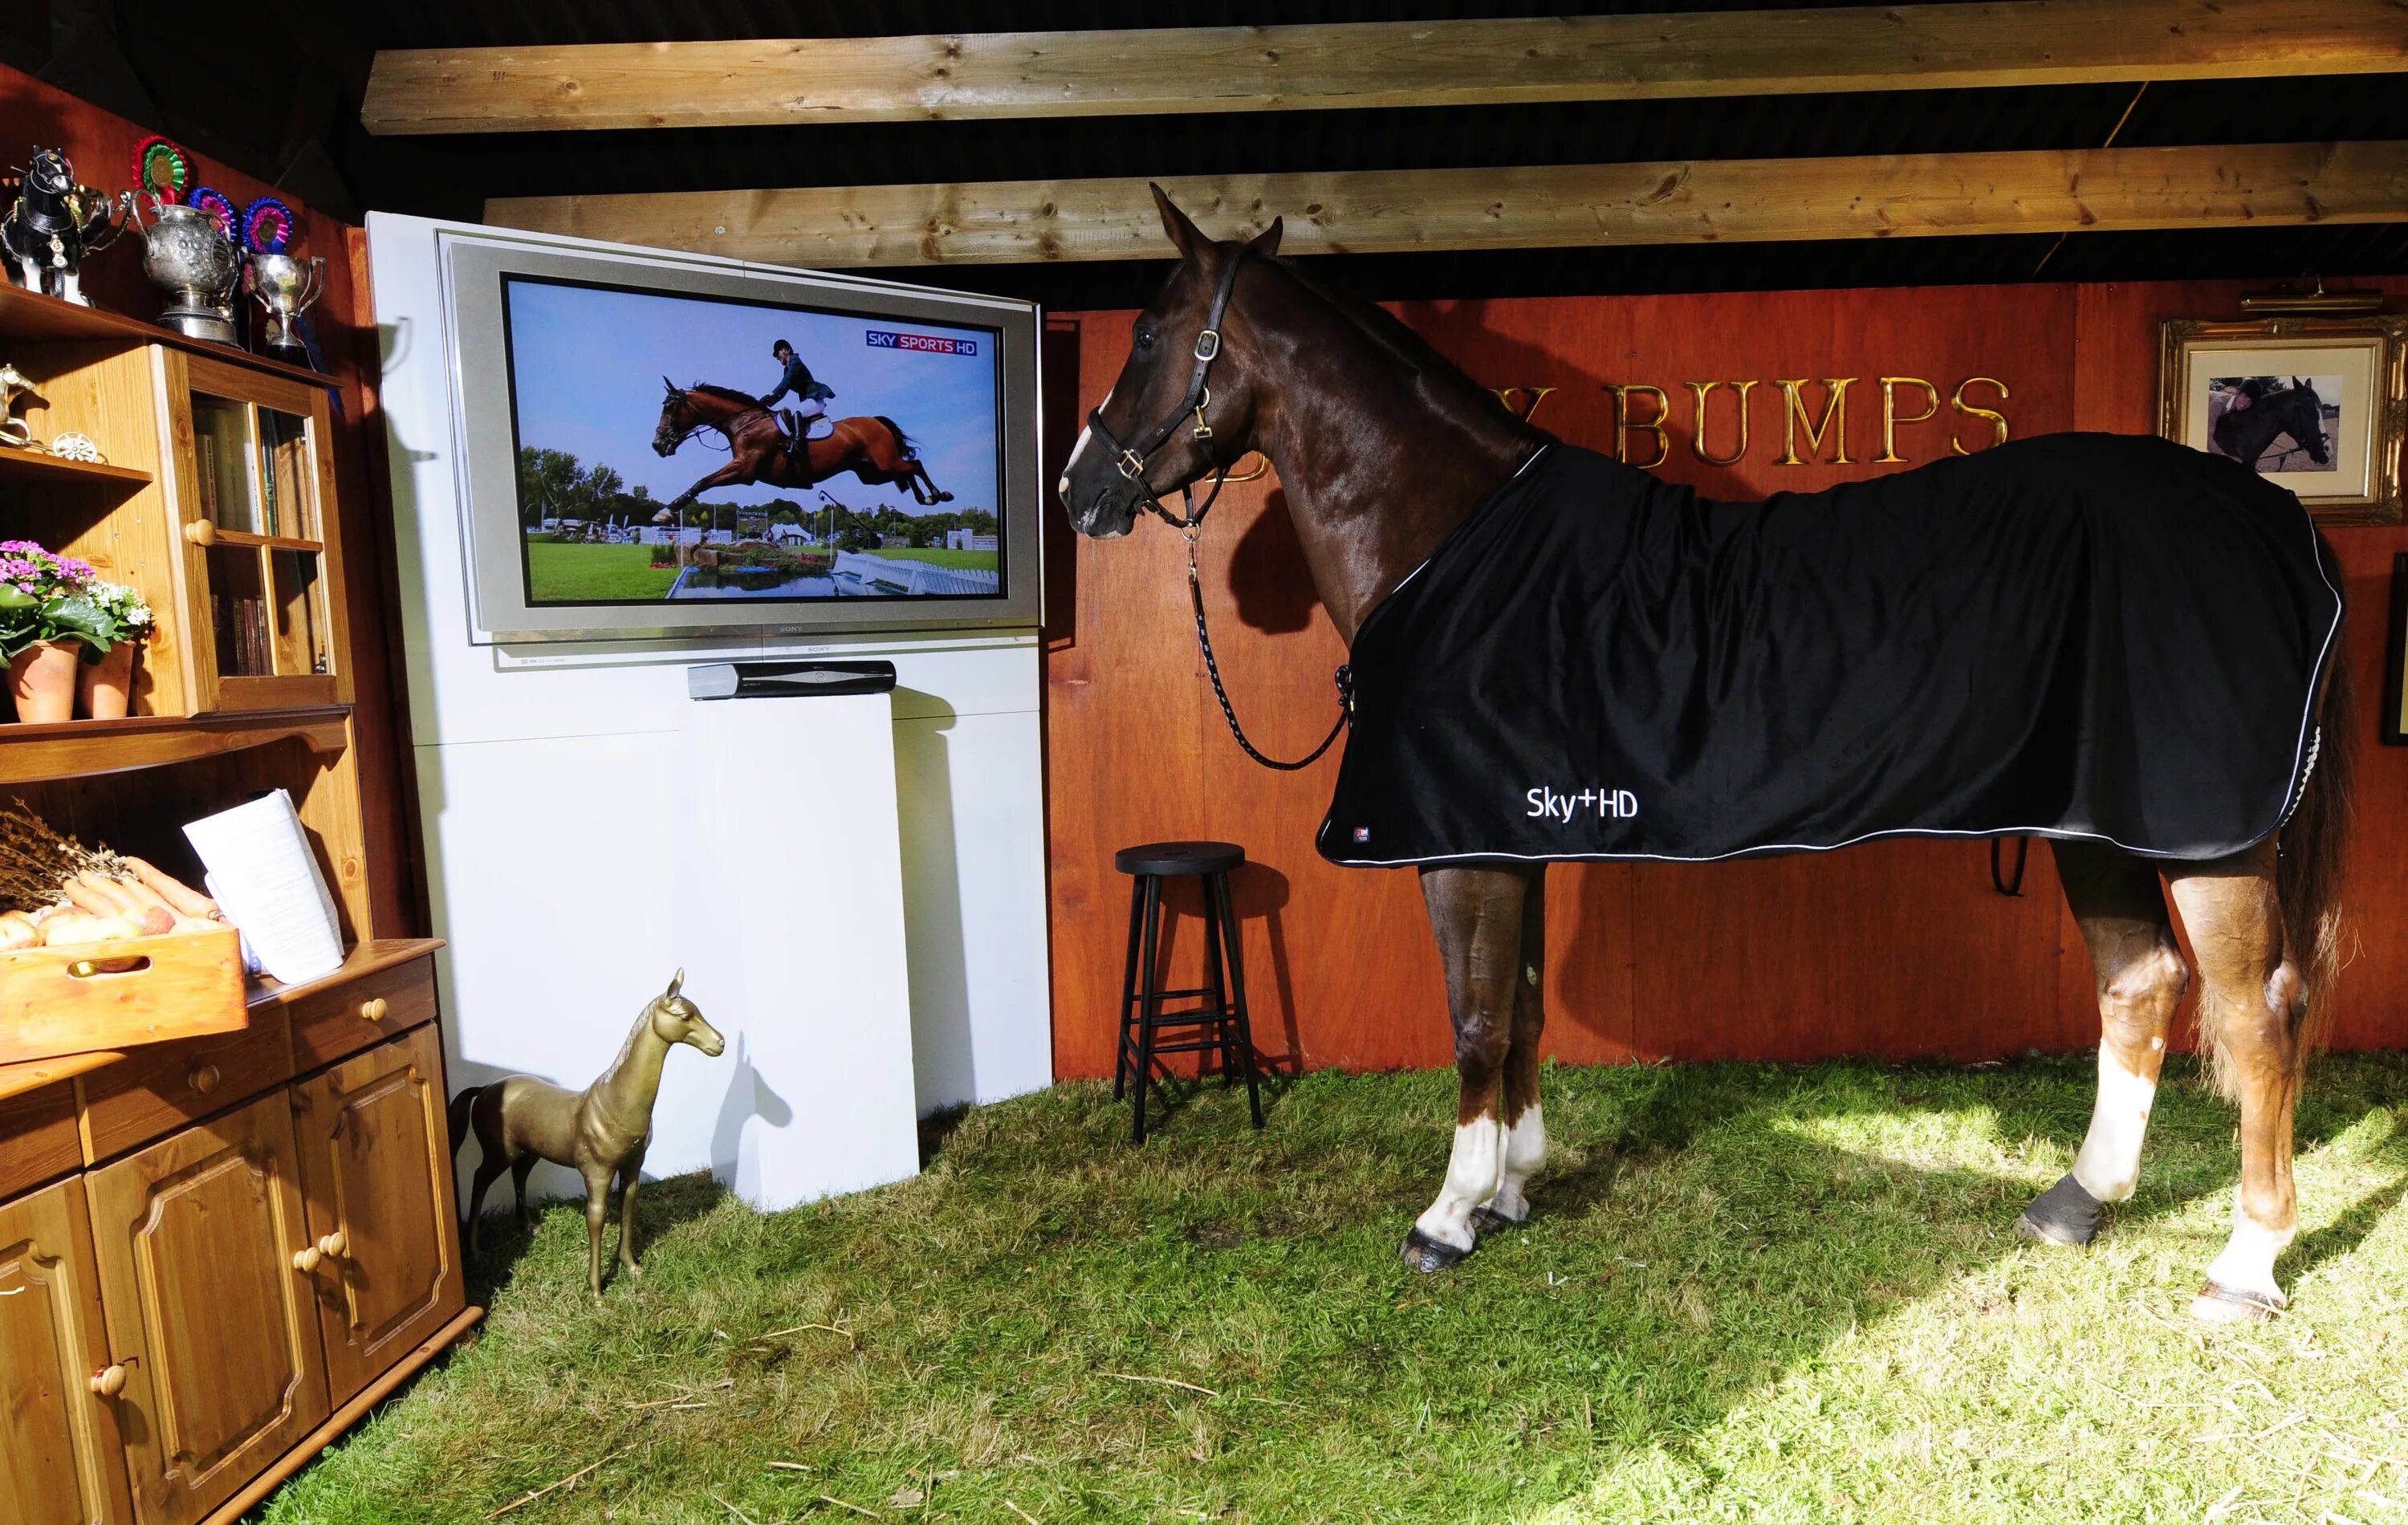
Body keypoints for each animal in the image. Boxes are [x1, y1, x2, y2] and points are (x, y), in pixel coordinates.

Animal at [665, 378, 963, 506]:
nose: (658, 444)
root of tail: (876, 421)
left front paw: (666, 513)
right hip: (873, 473)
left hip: (884, 464)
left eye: (669, 409)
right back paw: (924, 498)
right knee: (907, 470)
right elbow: (704, 481)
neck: (744, 423)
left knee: (916, 465)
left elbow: (703, 481)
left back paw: (938, 494)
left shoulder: (745, 470)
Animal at [1064, 188, 2360, 1320]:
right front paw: (1516, 1190)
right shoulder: (1512, 828)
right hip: (2095, 821)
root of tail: (2275, 521)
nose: (1081, 494)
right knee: (2140, 982)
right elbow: (1520, 1009)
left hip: (2208, 836)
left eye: (1149, 333)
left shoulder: (1459, 846)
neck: (1446, 547)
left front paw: (1449, 1214)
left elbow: (1475, 1019)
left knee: (2255, 1016)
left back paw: (2245, 1268)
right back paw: (2076, 1204)